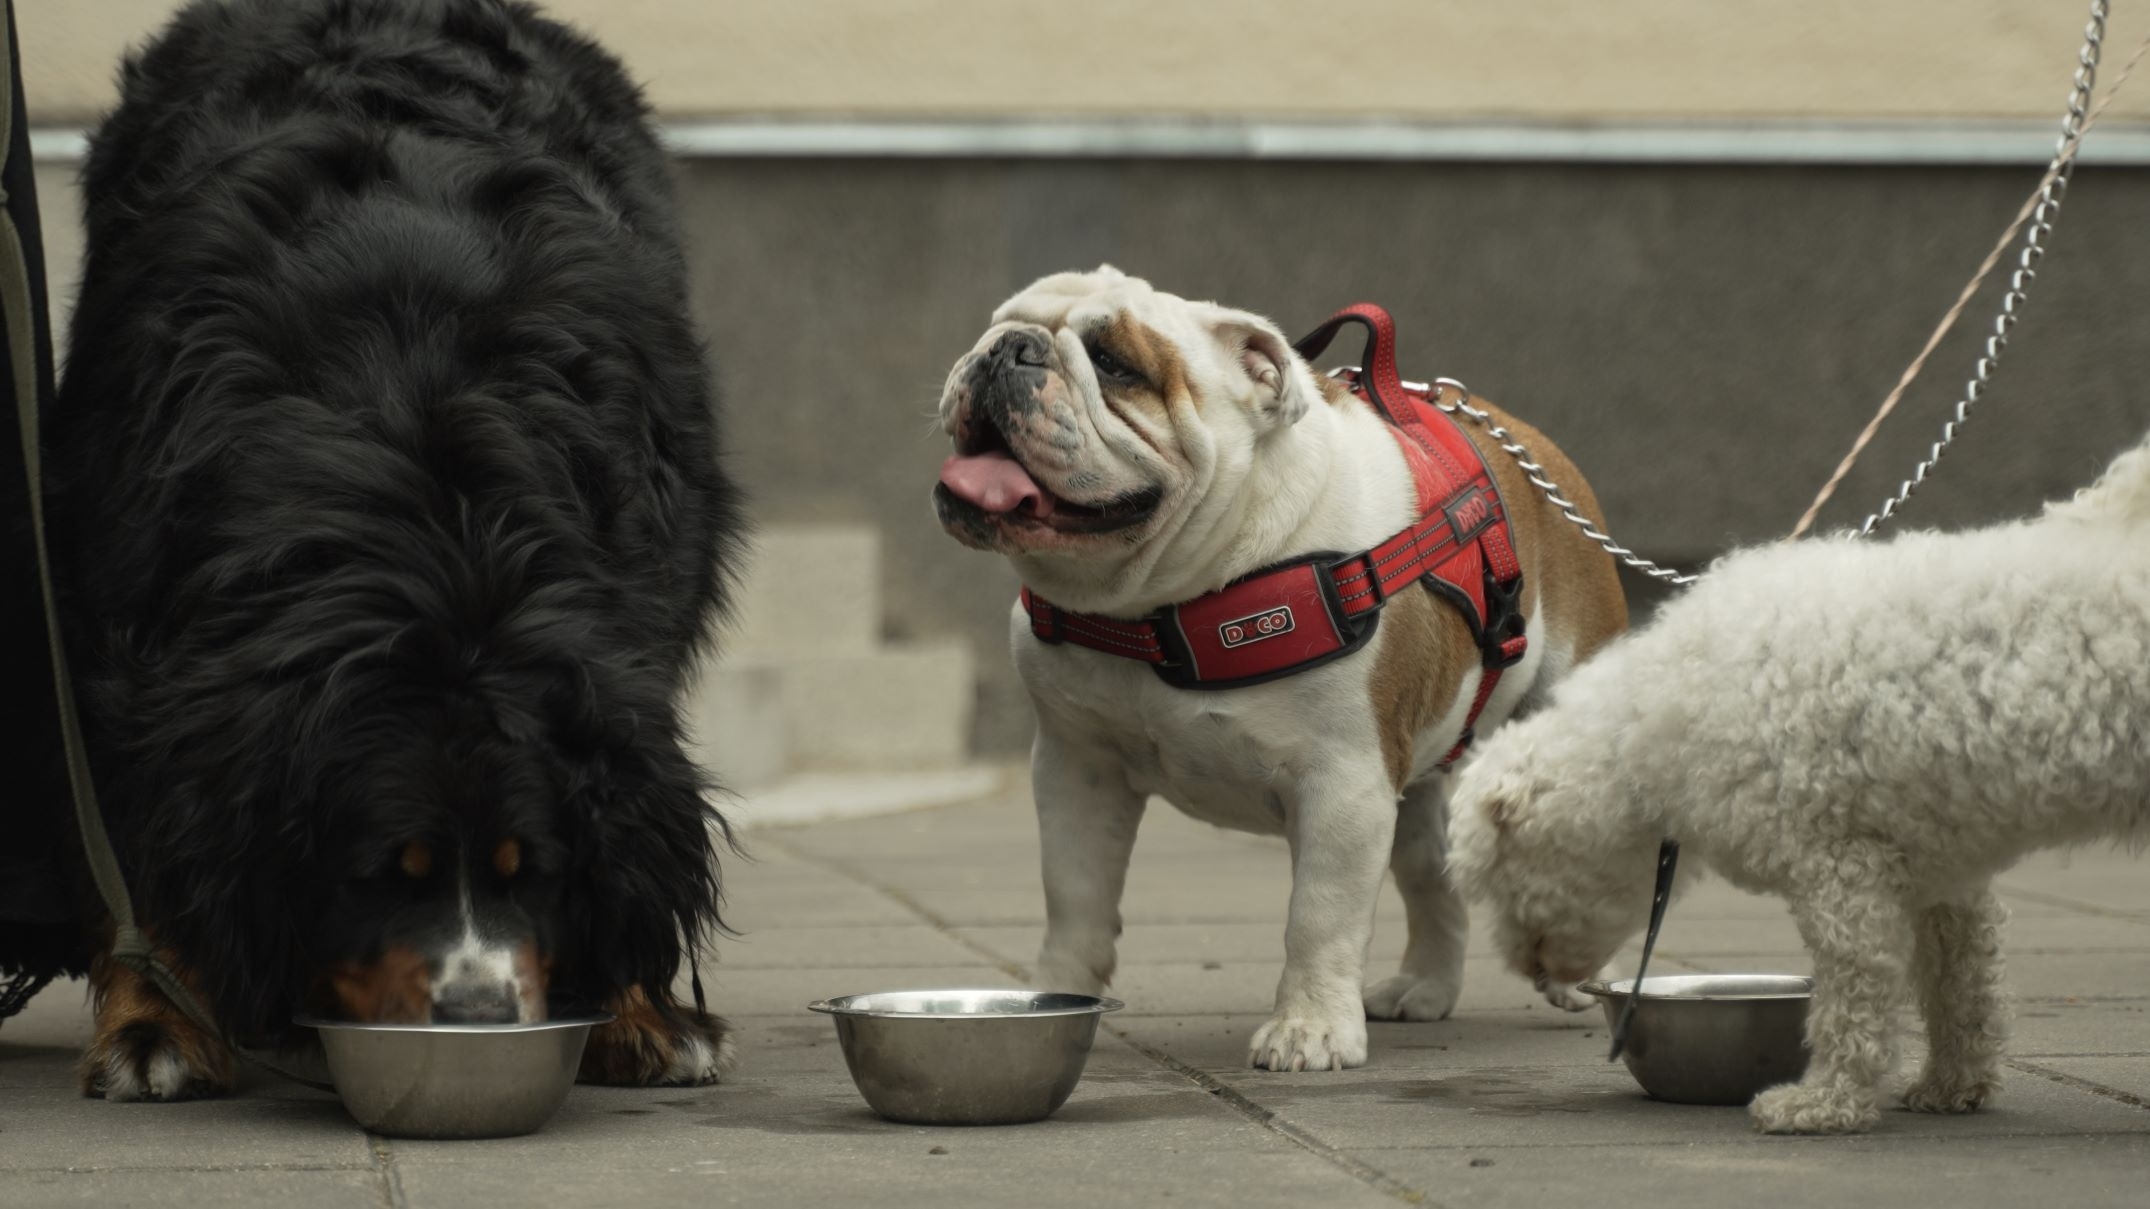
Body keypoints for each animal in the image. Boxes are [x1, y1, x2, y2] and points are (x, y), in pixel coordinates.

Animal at [44, 0, 748, 1092]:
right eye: (381, 872)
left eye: (534, 871)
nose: (475, 1014)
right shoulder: (116, 634)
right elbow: (137, 844)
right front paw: (155, 1021)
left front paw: (638, 1009)